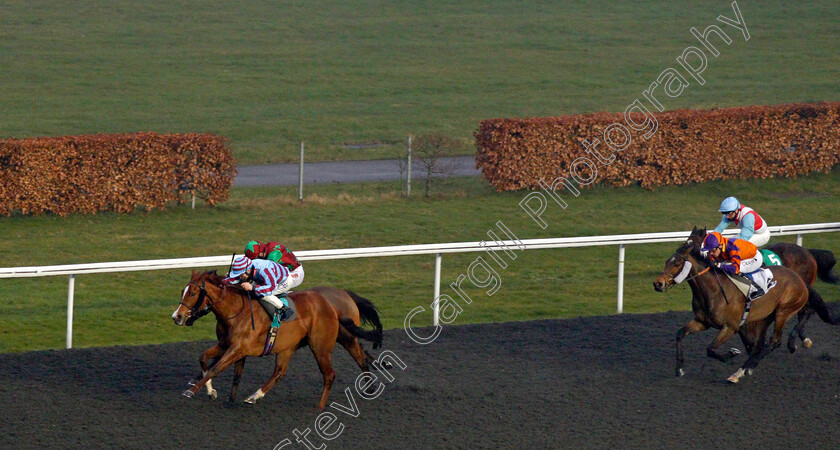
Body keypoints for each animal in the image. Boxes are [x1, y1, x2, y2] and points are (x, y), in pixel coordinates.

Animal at [652, 229, 812, 384]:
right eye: (667, 261)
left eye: (677, 264)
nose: (657, 284)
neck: (713, 290)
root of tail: (799, 279)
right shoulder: (702, 322)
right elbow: (680, 334)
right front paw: (679, 368)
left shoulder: (731, 327)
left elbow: (711, 349)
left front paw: (731, 354)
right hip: (765, 316)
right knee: (761, 343)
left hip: (783, 312)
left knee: (775, 341)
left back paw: (746, 368)